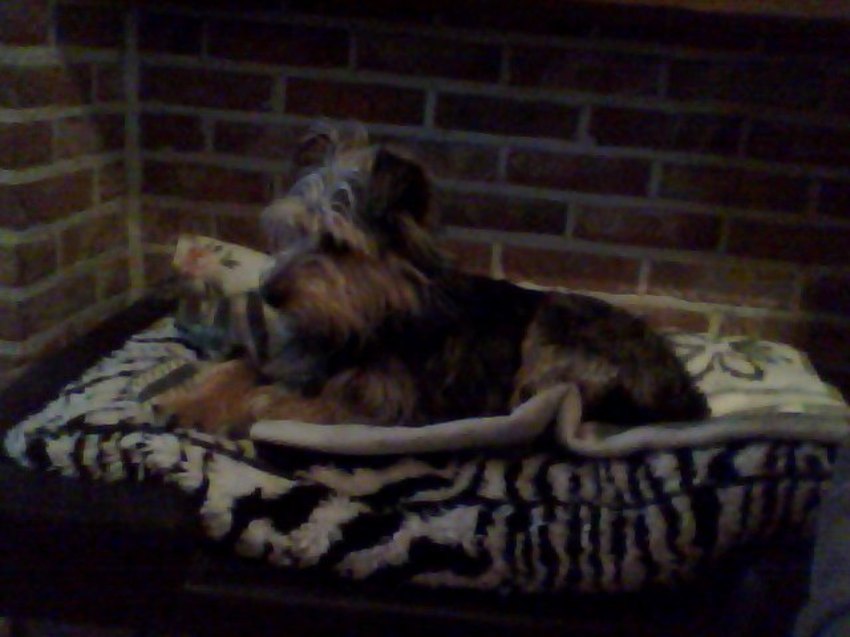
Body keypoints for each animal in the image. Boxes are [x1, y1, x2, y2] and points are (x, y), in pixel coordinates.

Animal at [154, 122, 708, 438]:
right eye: (291, 231)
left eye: (337, 244)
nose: (269, 293)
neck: (370, 316)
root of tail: (687, 389)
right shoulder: (297, 355)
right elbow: (242, 367)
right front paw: (188, 399)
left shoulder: (392, 403)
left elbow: (313, 401)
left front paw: (253, 406)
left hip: (556, 333)